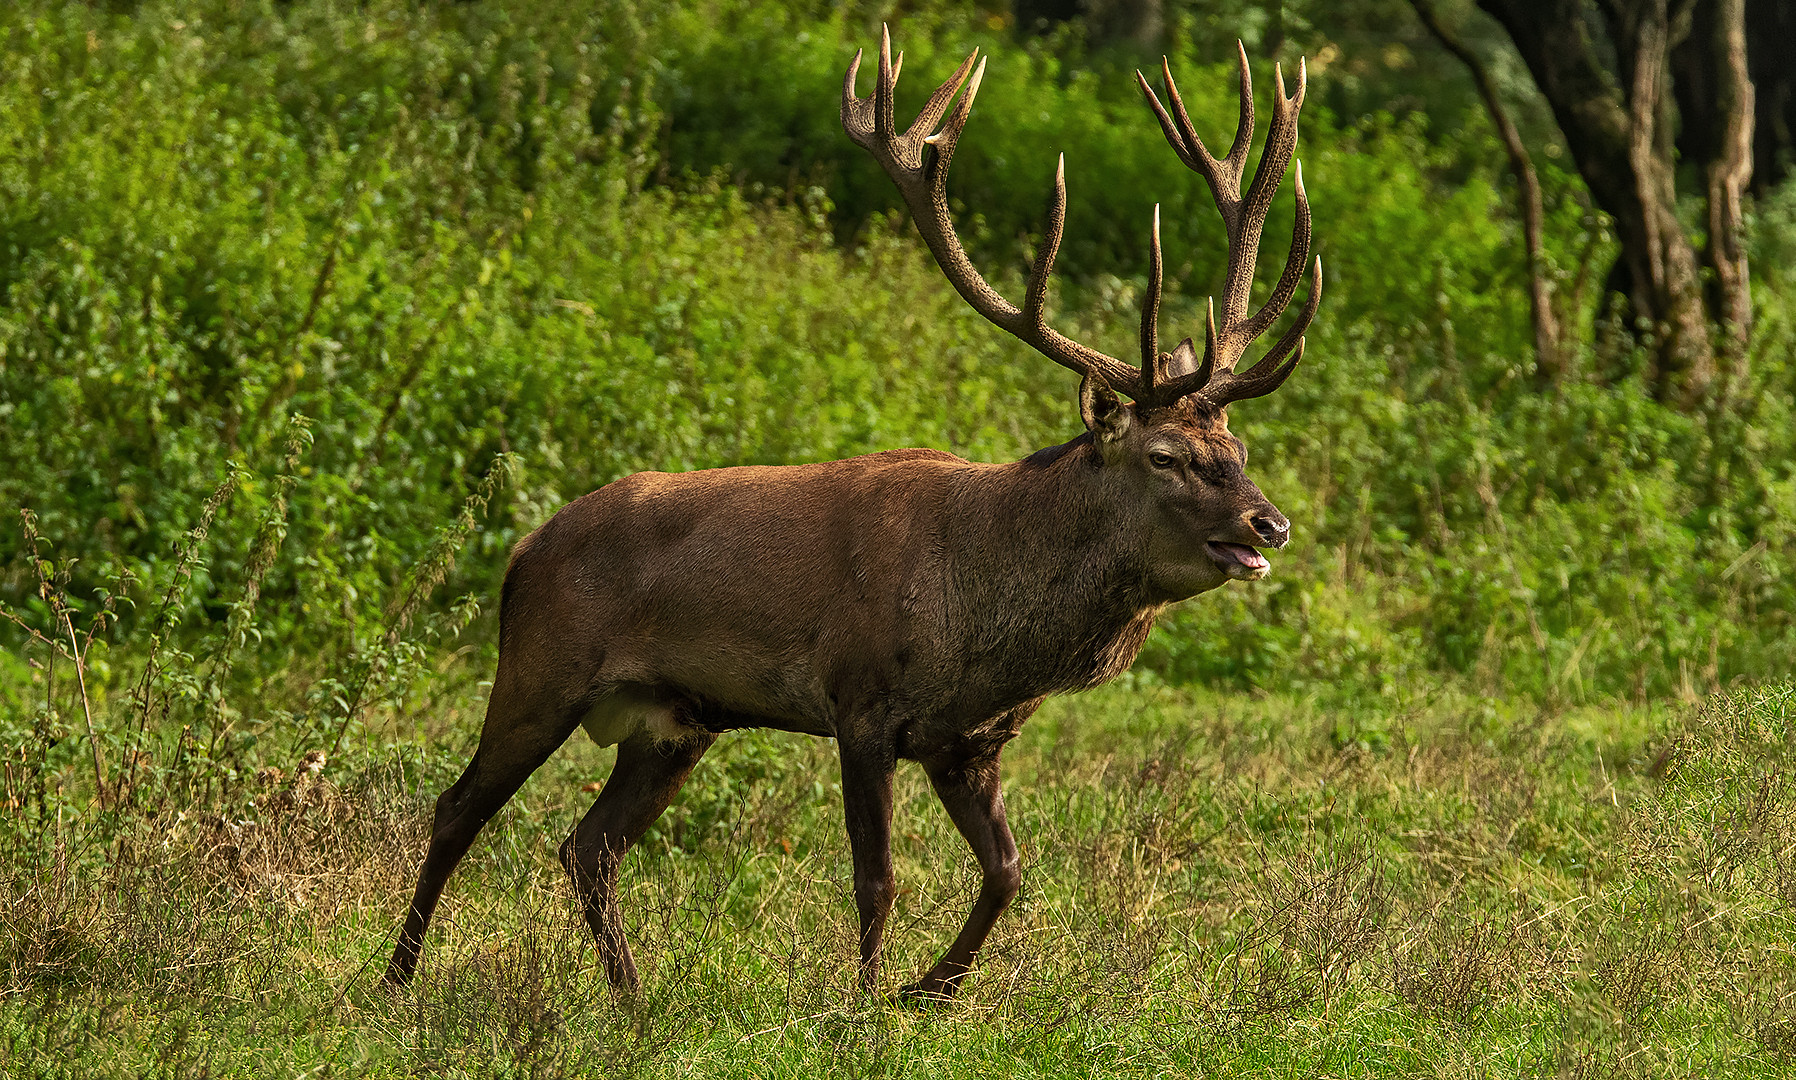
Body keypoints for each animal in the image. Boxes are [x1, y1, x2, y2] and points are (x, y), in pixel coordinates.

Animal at [389, 27, 1321, 999]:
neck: (988, 625)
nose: (1271, 525)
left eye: (1240, 450)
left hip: (672, 724)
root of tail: (523, 550)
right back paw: (398, 978)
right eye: (1165, 456)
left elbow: (1008, 872)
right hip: (542, 670)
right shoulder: (861, 704)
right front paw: (866, 999)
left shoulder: (968, 743)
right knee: (457, 809)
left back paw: (633, 998)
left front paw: (931, 988)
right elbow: (878, 880)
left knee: (588, 846)